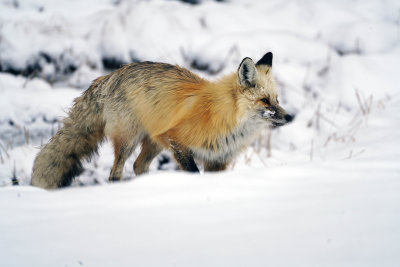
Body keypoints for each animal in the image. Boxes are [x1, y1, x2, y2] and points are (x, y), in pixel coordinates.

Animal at [31, 52, 292, 189]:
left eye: (277, 99)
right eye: (265, 101)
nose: (290, 116)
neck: (225, 118)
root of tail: (111, 74)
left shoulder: (218, 158)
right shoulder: (176, 139)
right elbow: (192, 173)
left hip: (153, 142)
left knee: (139, 166)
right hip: (130, 140)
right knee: (116, 173)